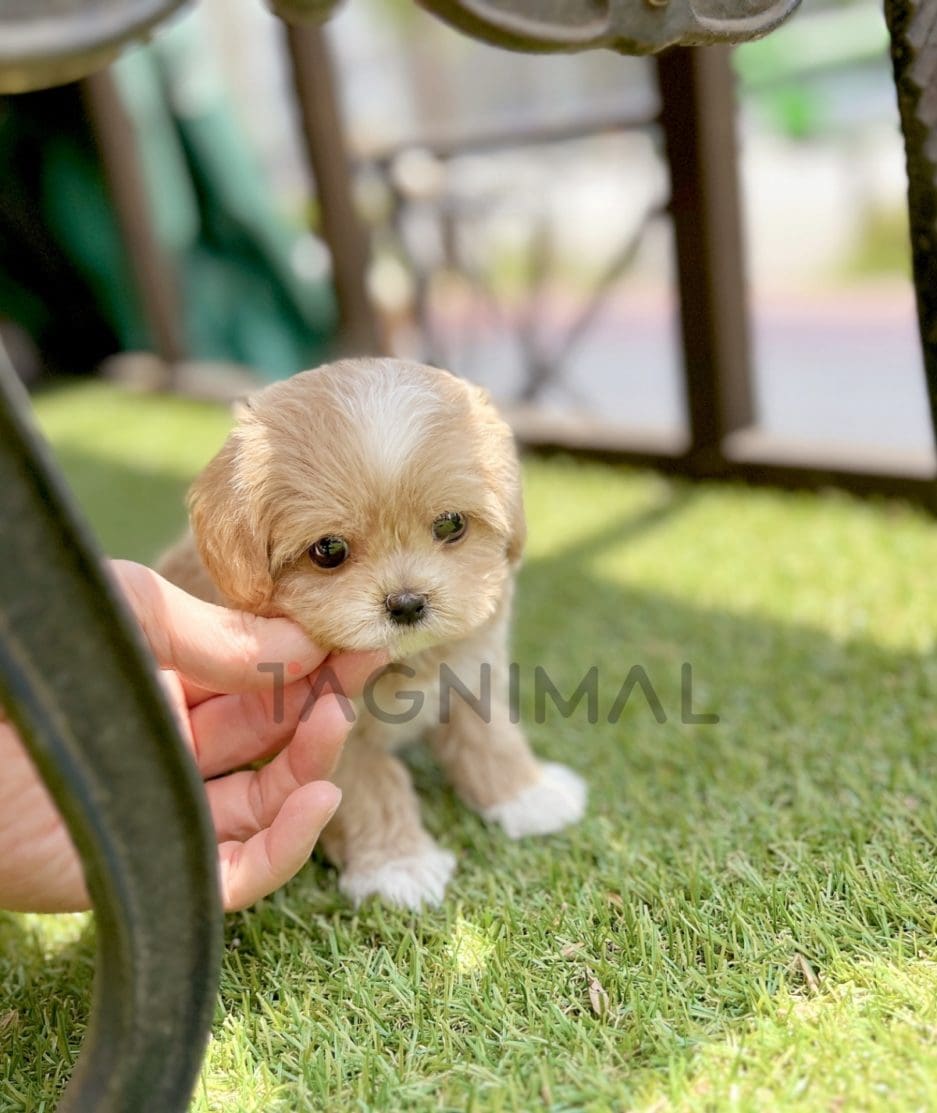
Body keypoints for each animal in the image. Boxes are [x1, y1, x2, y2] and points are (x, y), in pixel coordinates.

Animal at [160, 360, 583, 908]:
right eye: (329, 550)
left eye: (451, 524)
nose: (407, 603)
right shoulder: (329, 734)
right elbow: (371, 788)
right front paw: (398, 866)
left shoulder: (470, 673)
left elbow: (489, 736)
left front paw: (529, 795)